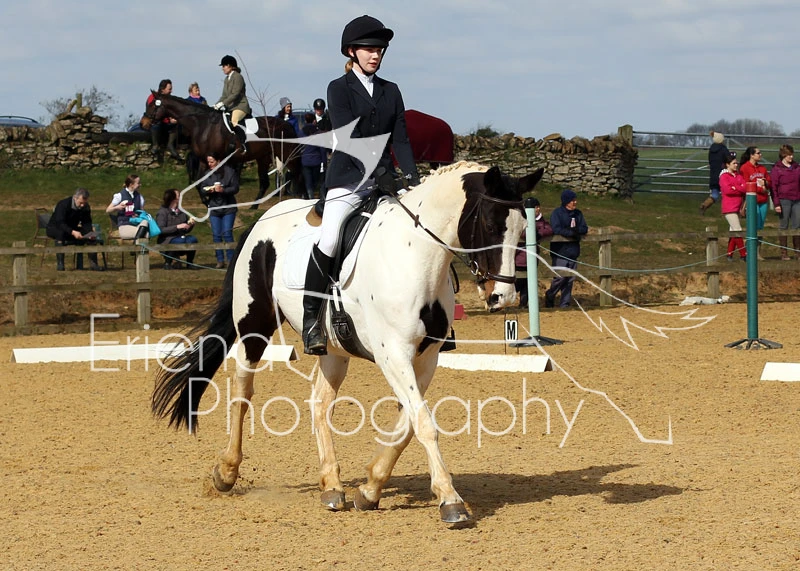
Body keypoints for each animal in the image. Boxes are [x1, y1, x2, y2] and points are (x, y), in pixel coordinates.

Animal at [144, 92, 302, 201]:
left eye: (152, 105)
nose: (144, 123)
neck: (202, 125)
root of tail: (287, 123)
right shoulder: (203, 159)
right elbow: (198, 183)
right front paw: (206, 200)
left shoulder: (218, 159)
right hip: (263, 158)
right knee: (266, 182)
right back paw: (254, 205)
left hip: (285, 154)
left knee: (296, 173)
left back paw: (299, 196)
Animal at [151, 161, 544, 524]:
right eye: (491, 225)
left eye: (523, 229)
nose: (503, 298)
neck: (415, 255)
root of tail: (264, 219)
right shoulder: (393, 355)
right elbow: (422, 423)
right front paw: (450, 499)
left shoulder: (425, 358)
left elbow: (407, 425)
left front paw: (369, 490)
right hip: (254, 326)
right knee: (242, 392)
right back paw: (226, 472)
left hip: (333, 350)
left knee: (319, 403)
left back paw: (332, 486)